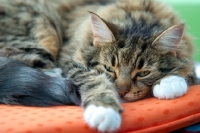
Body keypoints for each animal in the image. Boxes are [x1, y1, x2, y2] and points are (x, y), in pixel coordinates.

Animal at [0, 0, 196, 132]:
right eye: (109, 68)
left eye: (143, 73)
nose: (121, 92)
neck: (139, 16)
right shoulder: (70, 59)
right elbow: (92, 79)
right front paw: (103, 109)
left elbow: (188, 68)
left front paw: (170, 83)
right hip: (41, 33)